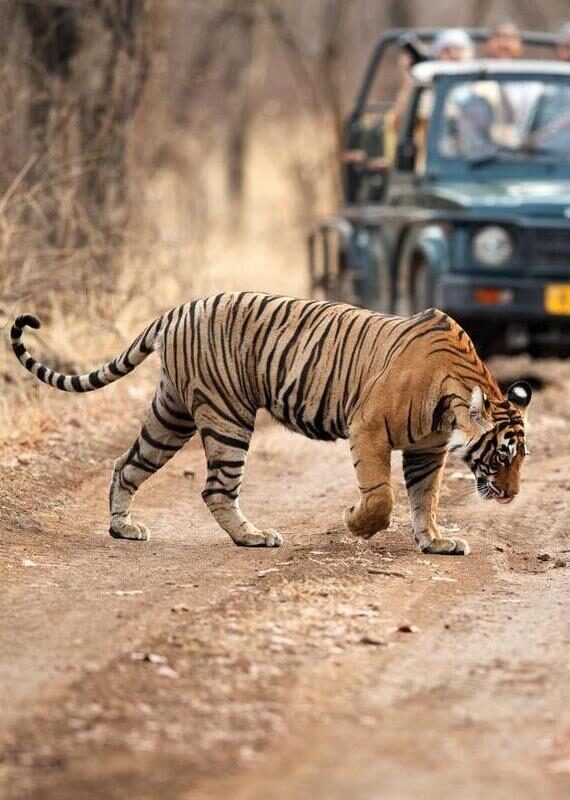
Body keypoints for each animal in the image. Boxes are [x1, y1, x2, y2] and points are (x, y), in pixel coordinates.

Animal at [10, 292, 532, 556]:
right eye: (502, 454)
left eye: (520, 458)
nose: (511, 495)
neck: (453, 398)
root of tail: (177, 310)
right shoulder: (368, 428)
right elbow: (381, 497)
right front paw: (356, 522)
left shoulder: (428, 448)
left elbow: (427, 498)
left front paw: (436, 541)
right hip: (227, 415)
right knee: (216, 488)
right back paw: (252, 537)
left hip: (171, 413)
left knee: (127, 463)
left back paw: (123, 528)